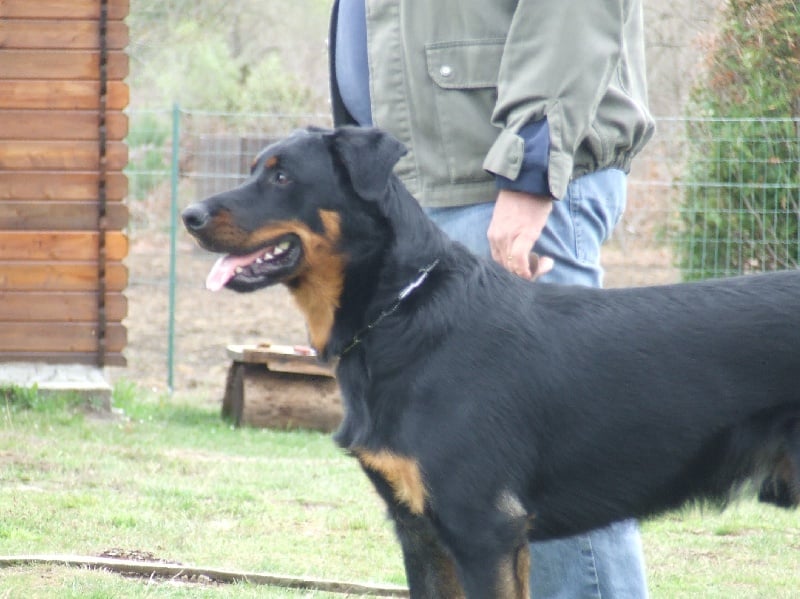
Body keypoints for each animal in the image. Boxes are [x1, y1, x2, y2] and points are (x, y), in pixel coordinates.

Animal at [183, 127, 800, 599]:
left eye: (282, 177)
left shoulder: (482, 528)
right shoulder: (422, 532)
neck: (399, 311)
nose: (189, 215)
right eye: (260, 169)